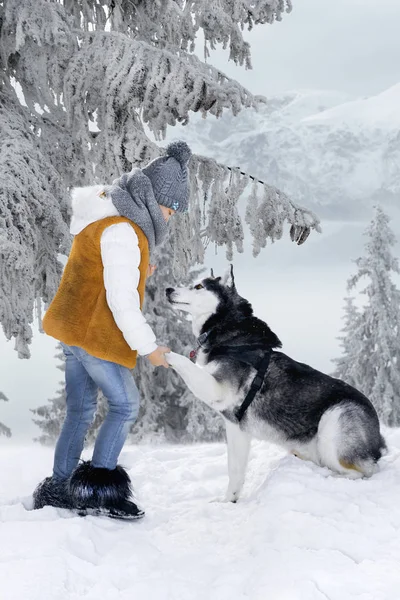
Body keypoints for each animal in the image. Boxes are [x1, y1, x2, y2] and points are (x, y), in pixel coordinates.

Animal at [165, 268, 384, 502]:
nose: (167, 289)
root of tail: (378, 438)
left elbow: (182, 361)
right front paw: (230, 500)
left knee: (364, 472)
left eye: (198, 286)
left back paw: (330, 477)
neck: (225, 327)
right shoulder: (236, 428)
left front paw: (159, 348)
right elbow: (235, 470)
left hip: (333, 422)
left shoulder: (218, 390)